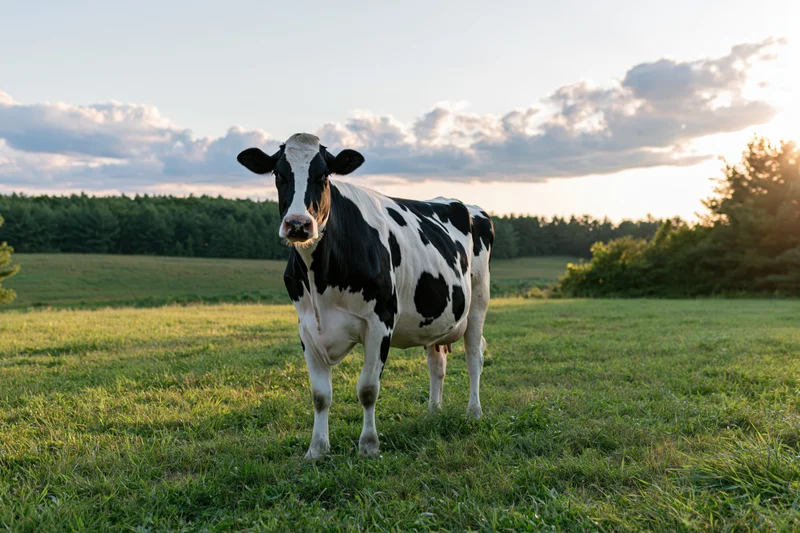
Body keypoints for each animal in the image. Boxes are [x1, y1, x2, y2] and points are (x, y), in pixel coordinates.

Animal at [237, 133, 493, 459]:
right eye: (279, 174)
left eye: (324, 175)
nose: (297, 224)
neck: (321, 279)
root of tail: (461, 203)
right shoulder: (306, 327)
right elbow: (320, 395)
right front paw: (317, 449)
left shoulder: (380, 322)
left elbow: (368, 389)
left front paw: (369, 446)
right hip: (434, 316)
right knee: (437, 363)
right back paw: (433, 413)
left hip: (478, 303)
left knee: (474, 356)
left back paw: (474, 412)